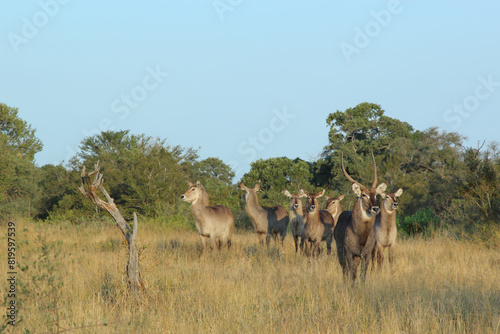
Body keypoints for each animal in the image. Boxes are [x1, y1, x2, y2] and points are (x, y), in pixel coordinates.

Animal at [334, 153, 388, 284]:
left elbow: (362, 276)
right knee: (345, 271)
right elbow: (352, 275)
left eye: (375, 194)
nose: (375, 208)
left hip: (358, 258)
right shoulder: (349, 253)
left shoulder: (366, 254)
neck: (360, 235)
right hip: (340, 252)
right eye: (364, 195)